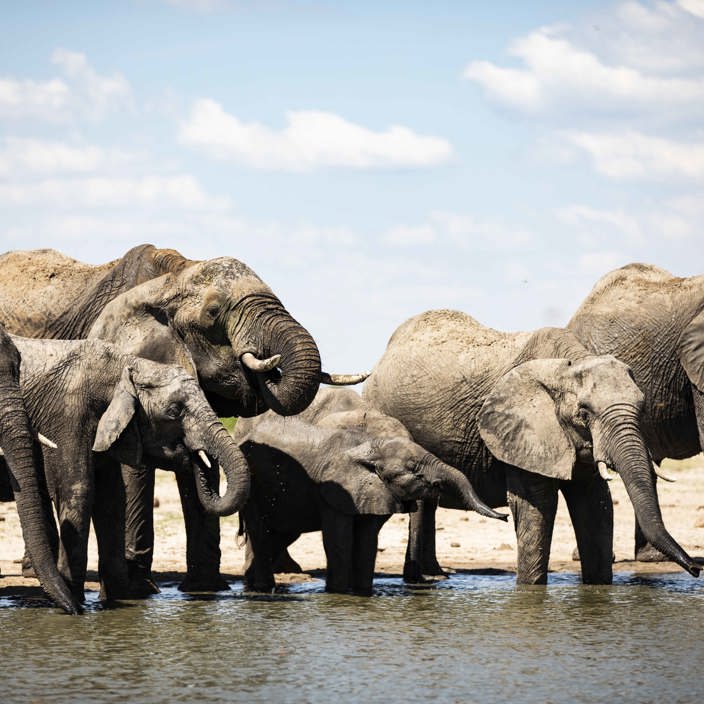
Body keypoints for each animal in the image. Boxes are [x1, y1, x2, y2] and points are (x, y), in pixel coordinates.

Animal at [8, 334, 251, 604]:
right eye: (174, 412)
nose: (196, 455)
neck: (128, 366)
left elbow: (112, 500)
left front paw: (119, 602)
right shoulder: (67, 416)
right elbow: (78, 490)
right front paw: (75, 603)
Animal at [234, 387, 506, 595]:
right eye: (412, 469)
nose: (505, 516)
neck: (368, 444)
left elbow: (367, 540)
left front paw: (364, 593)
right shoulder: (335, 492)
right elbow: (340, 539)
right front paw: (339, 595)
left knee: (279, 532)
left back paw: (255, 585)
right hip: (252, 487)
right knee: (261, 530)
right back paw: (263, 588)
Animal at [362, 309, 701, 584]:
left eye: (642, 407)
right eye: (584, 413)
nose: (697, 569)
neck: (568, 365)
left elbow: (595, 503)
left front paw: (597, 591)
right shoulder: (521, 432)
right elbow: (537, 505)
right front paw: (530, 592)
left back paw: (435, 577)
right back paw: (422, 580)